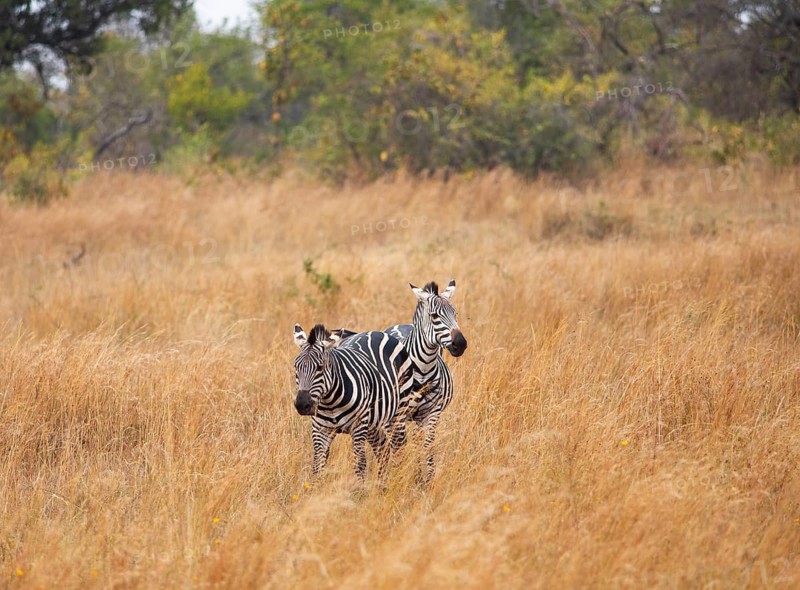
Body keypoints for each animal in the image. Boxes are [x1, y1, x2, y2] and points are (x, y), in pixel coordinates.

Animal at [292, 323, 412, 479]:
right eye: (296, 367)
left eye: (320, 367)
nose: (302, 405)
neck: (330, 403)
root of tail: (374, 332)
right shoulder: (320, 429)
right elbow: (317, 467)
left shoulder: (358, 427)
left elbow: (360, 465)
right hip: (373, 422)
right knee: (382, 448)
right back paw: (382, 482)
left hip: (398, 412)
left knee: (399, 447)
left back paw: (399, 477)